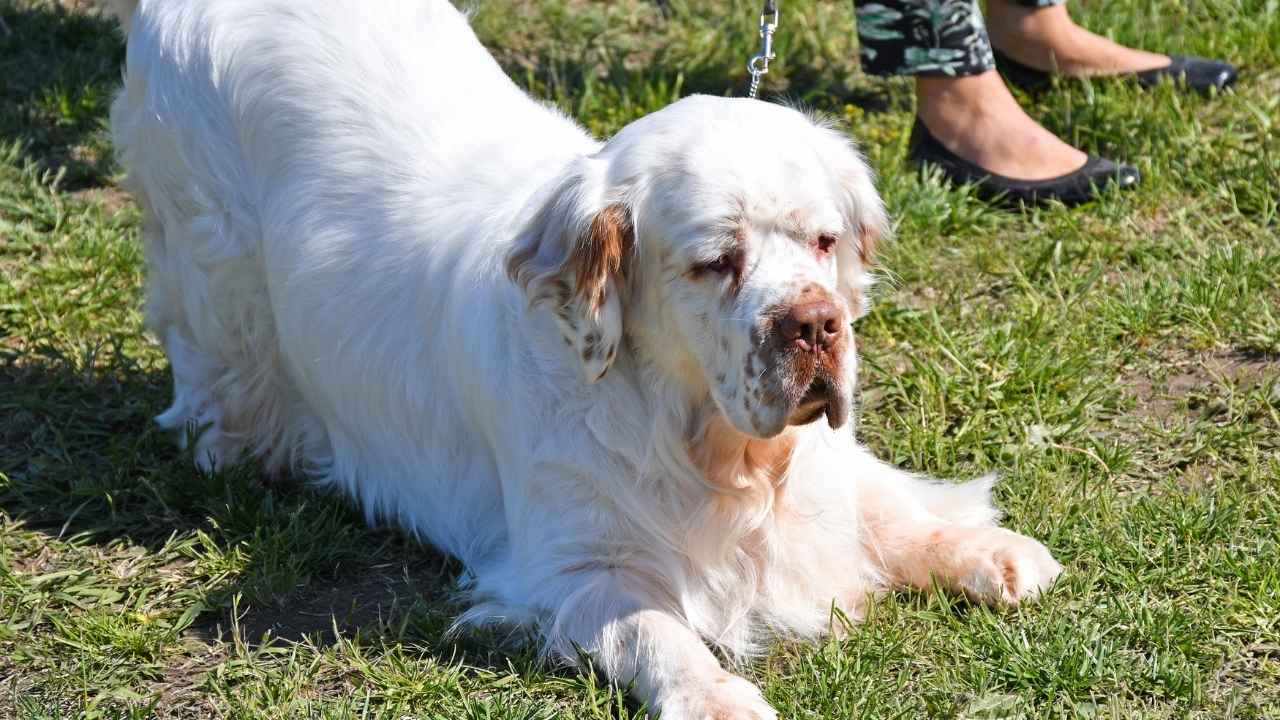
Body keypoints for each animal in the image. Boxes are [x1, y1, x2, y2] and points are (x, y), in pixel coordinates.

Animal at [110, 2, 1064, 712]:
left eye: (824, 242)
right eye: (716, 262)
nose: (816, 325)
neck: (705, 441)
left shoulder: (820, 462)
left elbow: (889, 507)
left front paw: (988, 552)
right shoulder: (570, 563)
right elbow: (657, 630)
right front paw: (717, 698)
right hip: (213, 259)